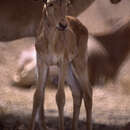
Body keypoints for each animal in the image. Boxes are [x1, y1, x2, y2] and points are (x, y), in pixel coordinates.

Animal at [30, 0, 91, 130]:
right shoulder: (42, 62)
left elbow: (60, 97)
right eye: (50, 3)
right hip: (69, 68)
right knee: (77, 92)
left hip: (79, 62)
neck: (50, 43)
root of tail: (82, 26)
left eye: (67, 3)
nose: (63, 25)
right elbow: (37, 96)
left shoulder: (62, 62)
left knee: (88, 92)